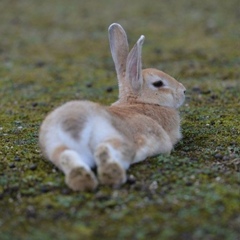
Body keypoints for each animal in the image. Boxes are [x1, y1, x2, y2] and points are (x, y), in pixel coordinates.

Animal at [39, 23, 186, 191]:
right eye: (158, 83)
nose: (183, 91)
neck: (139, 102)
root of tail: (74, 122)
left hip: (56, 146)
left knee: (67, 156)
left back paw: (83, 181)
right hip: (116, 137)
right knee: (103, 151)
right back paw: (113, 176)